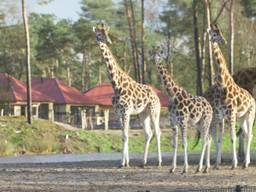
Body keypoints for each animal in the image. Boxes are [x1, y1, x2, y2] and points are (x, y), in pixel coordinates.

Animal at [92, 21, 162, 167]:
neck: (116, 85)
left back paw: (159, 162)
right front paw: (124, 162)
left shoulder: (126, 111)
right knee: (148, 133)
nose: (109, 41)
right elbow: (123, 135)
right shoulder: (119, 112)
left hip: (154, 111)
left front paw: (124, 163)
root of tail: (157, 96)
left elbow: (125, 135)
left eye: (107, 33)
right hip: (143, 114)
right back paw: (143, 162)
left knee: (157, 132)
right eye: (99, 34)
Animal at [150, 45, 212, 173]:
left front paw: (185, 168)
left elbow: (184, 143)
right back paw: (205, 167)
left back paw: (200, 167)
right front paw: (172, 168)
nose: (155, 61)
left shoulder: (183, 122)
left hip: (206, 121)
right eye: (152, 54)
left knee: (205, 139)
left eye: (159, 55)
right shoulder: (173, 122)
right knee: (208, 138)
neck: (172, 94)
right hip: (198, 123)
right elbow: (174, 144)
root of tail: (210, 106)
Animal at [204, 23, 256, 168]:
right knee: (246, 134)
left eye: (220, 32)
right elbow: (221, 138)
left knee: (249, 135)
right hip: (242, 118)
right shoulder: (221, 115)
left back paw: (245, 162)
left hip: (250, 115)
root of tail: (253, 99)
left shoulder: (231, 113)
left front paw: (234, 164)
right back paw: (245, 162)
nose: (224, 41)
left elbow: (232, 138)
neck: (223, 84)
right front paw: (216, 164)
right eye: (214, 33)